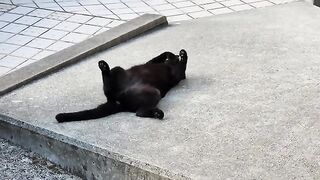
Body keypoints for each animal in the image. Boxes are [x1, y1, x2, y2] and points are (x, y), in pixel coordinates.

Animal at [55, 49, 188, 122]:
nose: (176, 56)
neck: (170, 64)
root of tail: (116, 102)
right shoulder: (159, 64)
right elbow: (161, 56)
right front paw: (177, 54)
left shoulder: (178, 74)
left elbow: (182, 64)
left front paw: (182, 55)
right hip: (118, 70)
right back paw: (103, 66)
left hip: (154, 92)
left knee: (139, 112)